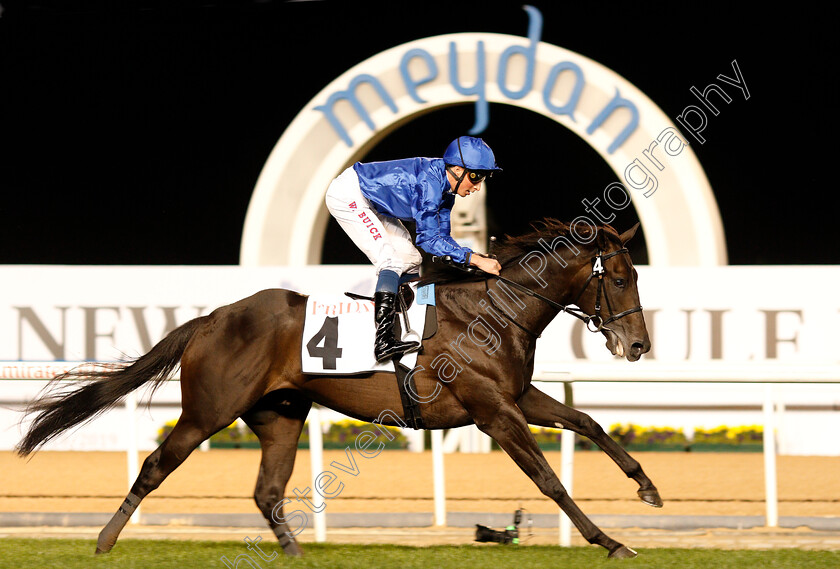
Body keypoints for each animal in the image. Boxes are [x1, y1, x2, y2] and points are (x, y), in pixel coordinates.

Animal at [19, 220, 660, 556]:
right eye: (619, 278)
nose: (638, 347)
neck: (493, 311)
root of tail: (213, 318)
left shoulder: (515, 397)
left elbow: (588, 422)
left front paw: (647, 489)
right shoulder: (492, 410)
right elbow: (548, 478)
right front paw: (610, 541)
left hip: (280, 413)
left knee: (267, 491)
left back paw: (297, 555)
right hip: (208, 411)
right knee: (156, 465)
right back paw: (104, 541)